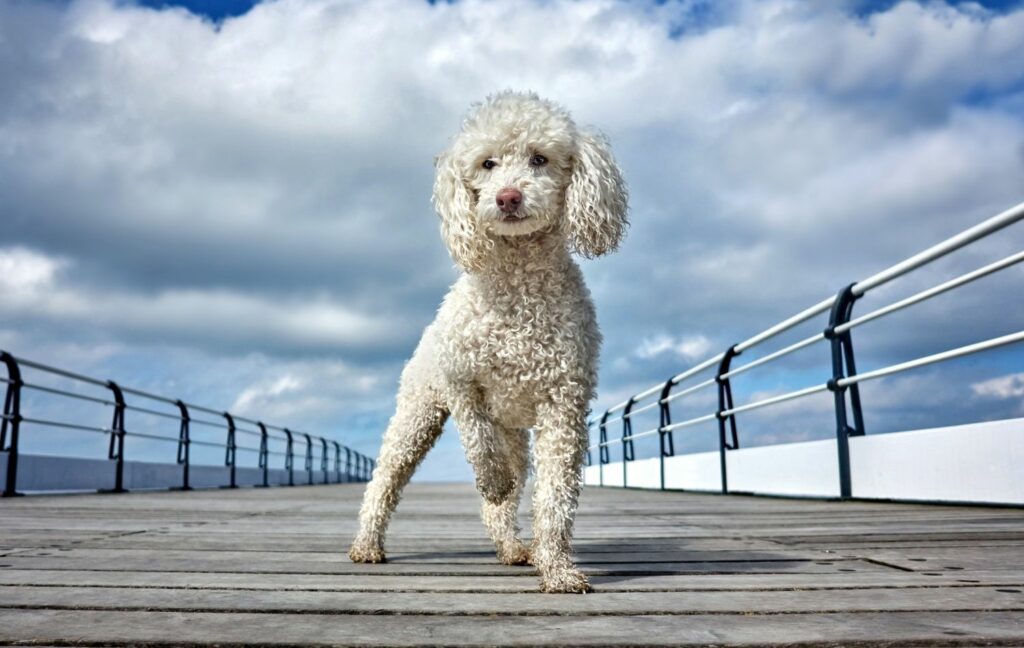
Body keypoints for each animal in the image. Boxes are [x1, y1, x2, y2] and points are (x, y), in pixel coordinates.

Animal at [348, 91, 626, 589]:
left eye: (539, 159)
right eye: (487, 163)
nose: (508, 196)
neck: (517, 289)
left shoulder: (564, 404)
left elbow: (555, 496)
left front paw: (558, 570)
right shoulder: (461, 382)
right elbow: (478, 440)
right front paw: (492, 479)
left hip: (514, 433)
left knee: (504, 501)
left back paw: (514, 548)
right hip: (417, 413)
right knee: (384, 480)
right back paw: (367, 545)